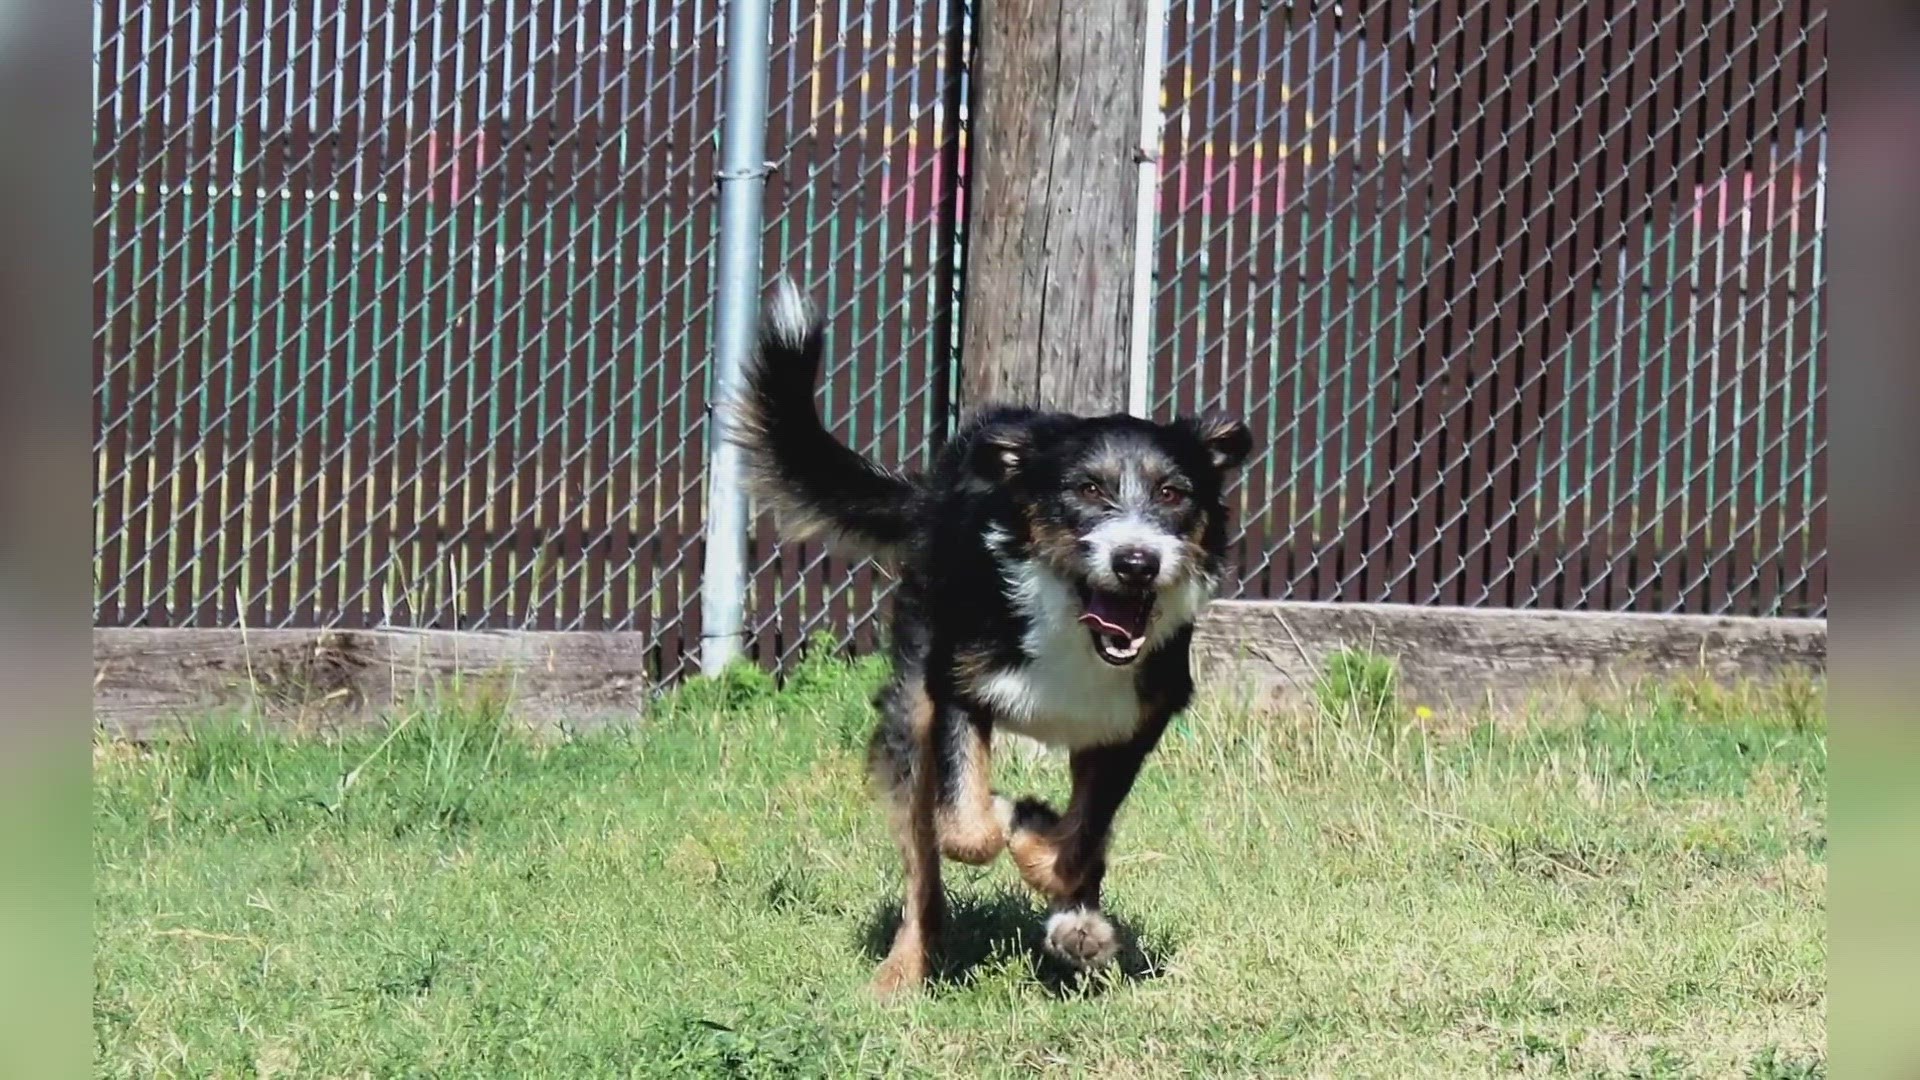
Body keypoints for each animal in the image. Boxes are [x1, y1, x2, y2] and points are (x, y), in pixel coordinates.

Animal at [725, 278, 1251, 991]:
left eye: (1173, 493)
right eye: (1087, 489)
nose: (1136, 561)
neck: (1067, 624)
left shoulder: (1132, 723)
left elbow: (1082, 839)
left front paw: (1047, 855)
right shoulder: (956, 687)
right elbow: (964, 827)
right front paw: (1010, 815)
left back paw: (1079, 927)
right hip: (910, 709)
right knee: (923, 863)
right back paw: (902, 972)